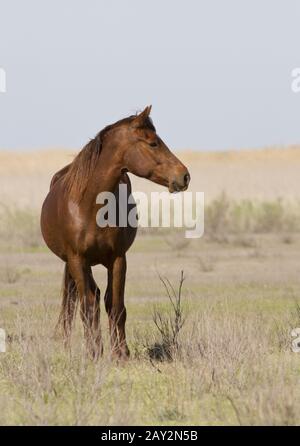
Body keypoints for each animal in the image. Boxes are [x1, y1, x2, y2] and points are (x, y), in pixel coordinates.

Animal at [40, 106, 190, 360]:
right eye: (153, 143)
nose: (184, 175)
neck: (91, 205)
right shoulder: (78, 259)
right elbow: (88, 305)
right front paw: (94, 352)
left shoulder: (118, 259)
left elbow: (116, 305)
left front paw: (120, 353)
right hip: (73, 264)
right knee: (73, 301)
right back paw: (69, 345)